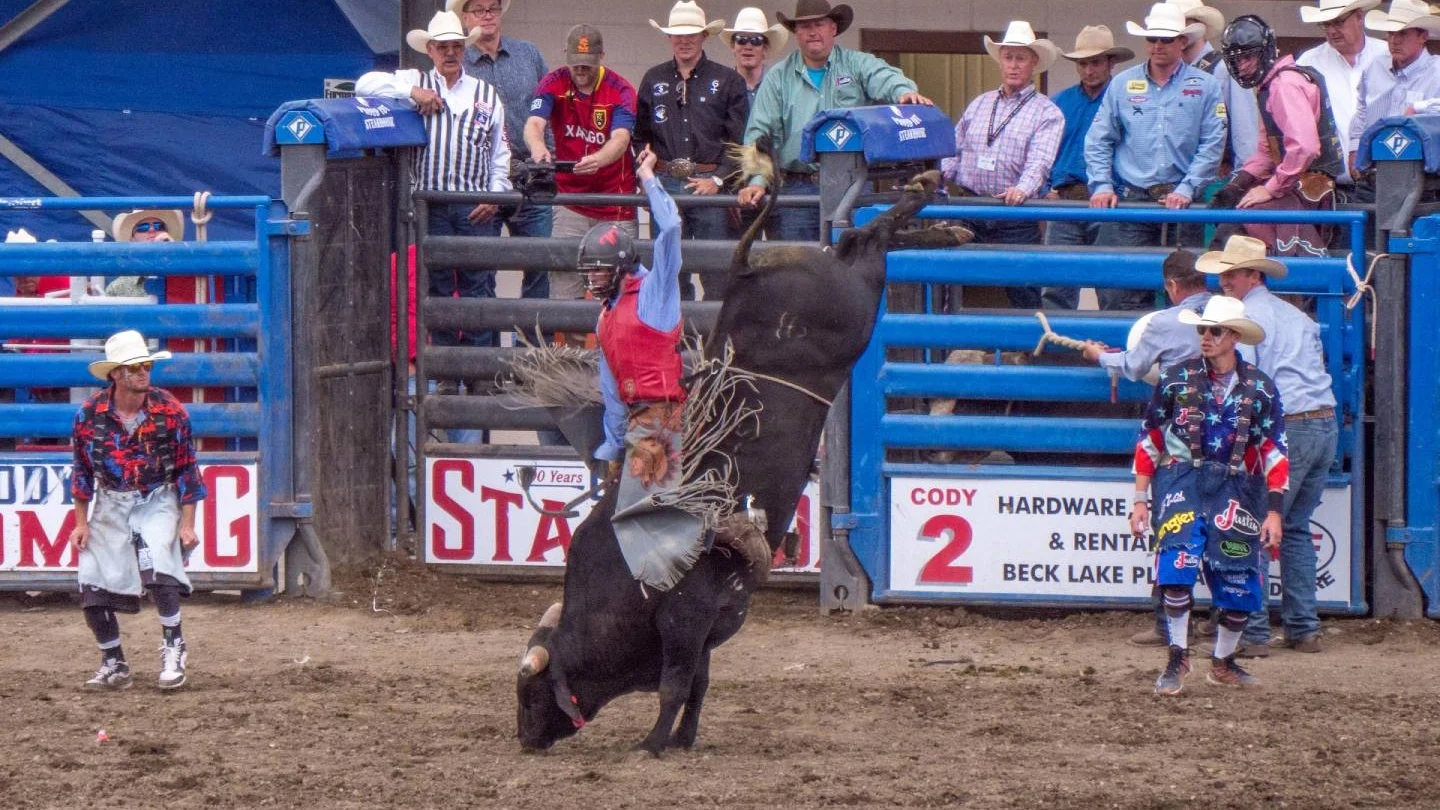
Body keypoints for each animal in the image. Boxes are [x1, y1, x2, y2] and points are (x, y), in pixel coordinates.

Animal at [518, 160, 967, 755]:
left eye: (528, 693)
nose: (523, 738)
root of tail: (745, 272)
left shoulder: (683, 620)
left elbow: (674, 684)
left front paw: (653, 742)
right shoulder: (710, 625)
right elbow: (699, 684)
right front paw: (685, 738)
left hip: (853, 302)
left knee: (870, 239)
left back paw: (922, 196)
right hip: (846, 284)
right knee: (857, 240)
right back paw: (942, 222)